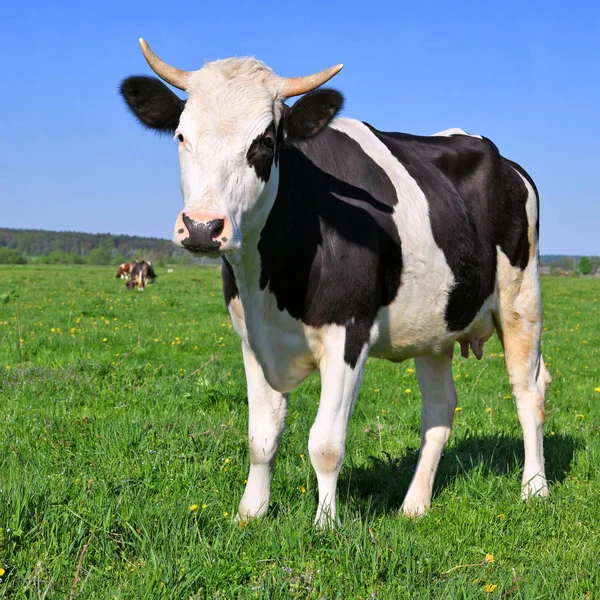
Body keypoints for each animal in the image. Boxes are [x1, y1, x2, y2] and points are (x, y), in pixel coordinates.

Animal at [119, 38, 552, 524]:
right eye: (181, 135)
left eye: (264, 142)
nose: (201, 227)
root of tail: (499, 157)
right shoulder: (252, 338)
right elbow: (261, 436)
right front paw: (250, 514)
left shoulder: (348, 332)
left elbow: (325, 444)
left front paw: (326, 523)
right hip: (435, 327)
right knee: (440, 410)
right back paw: (414, 505)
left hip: (522, 298)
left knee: (529, 391)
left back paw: (534, 489)